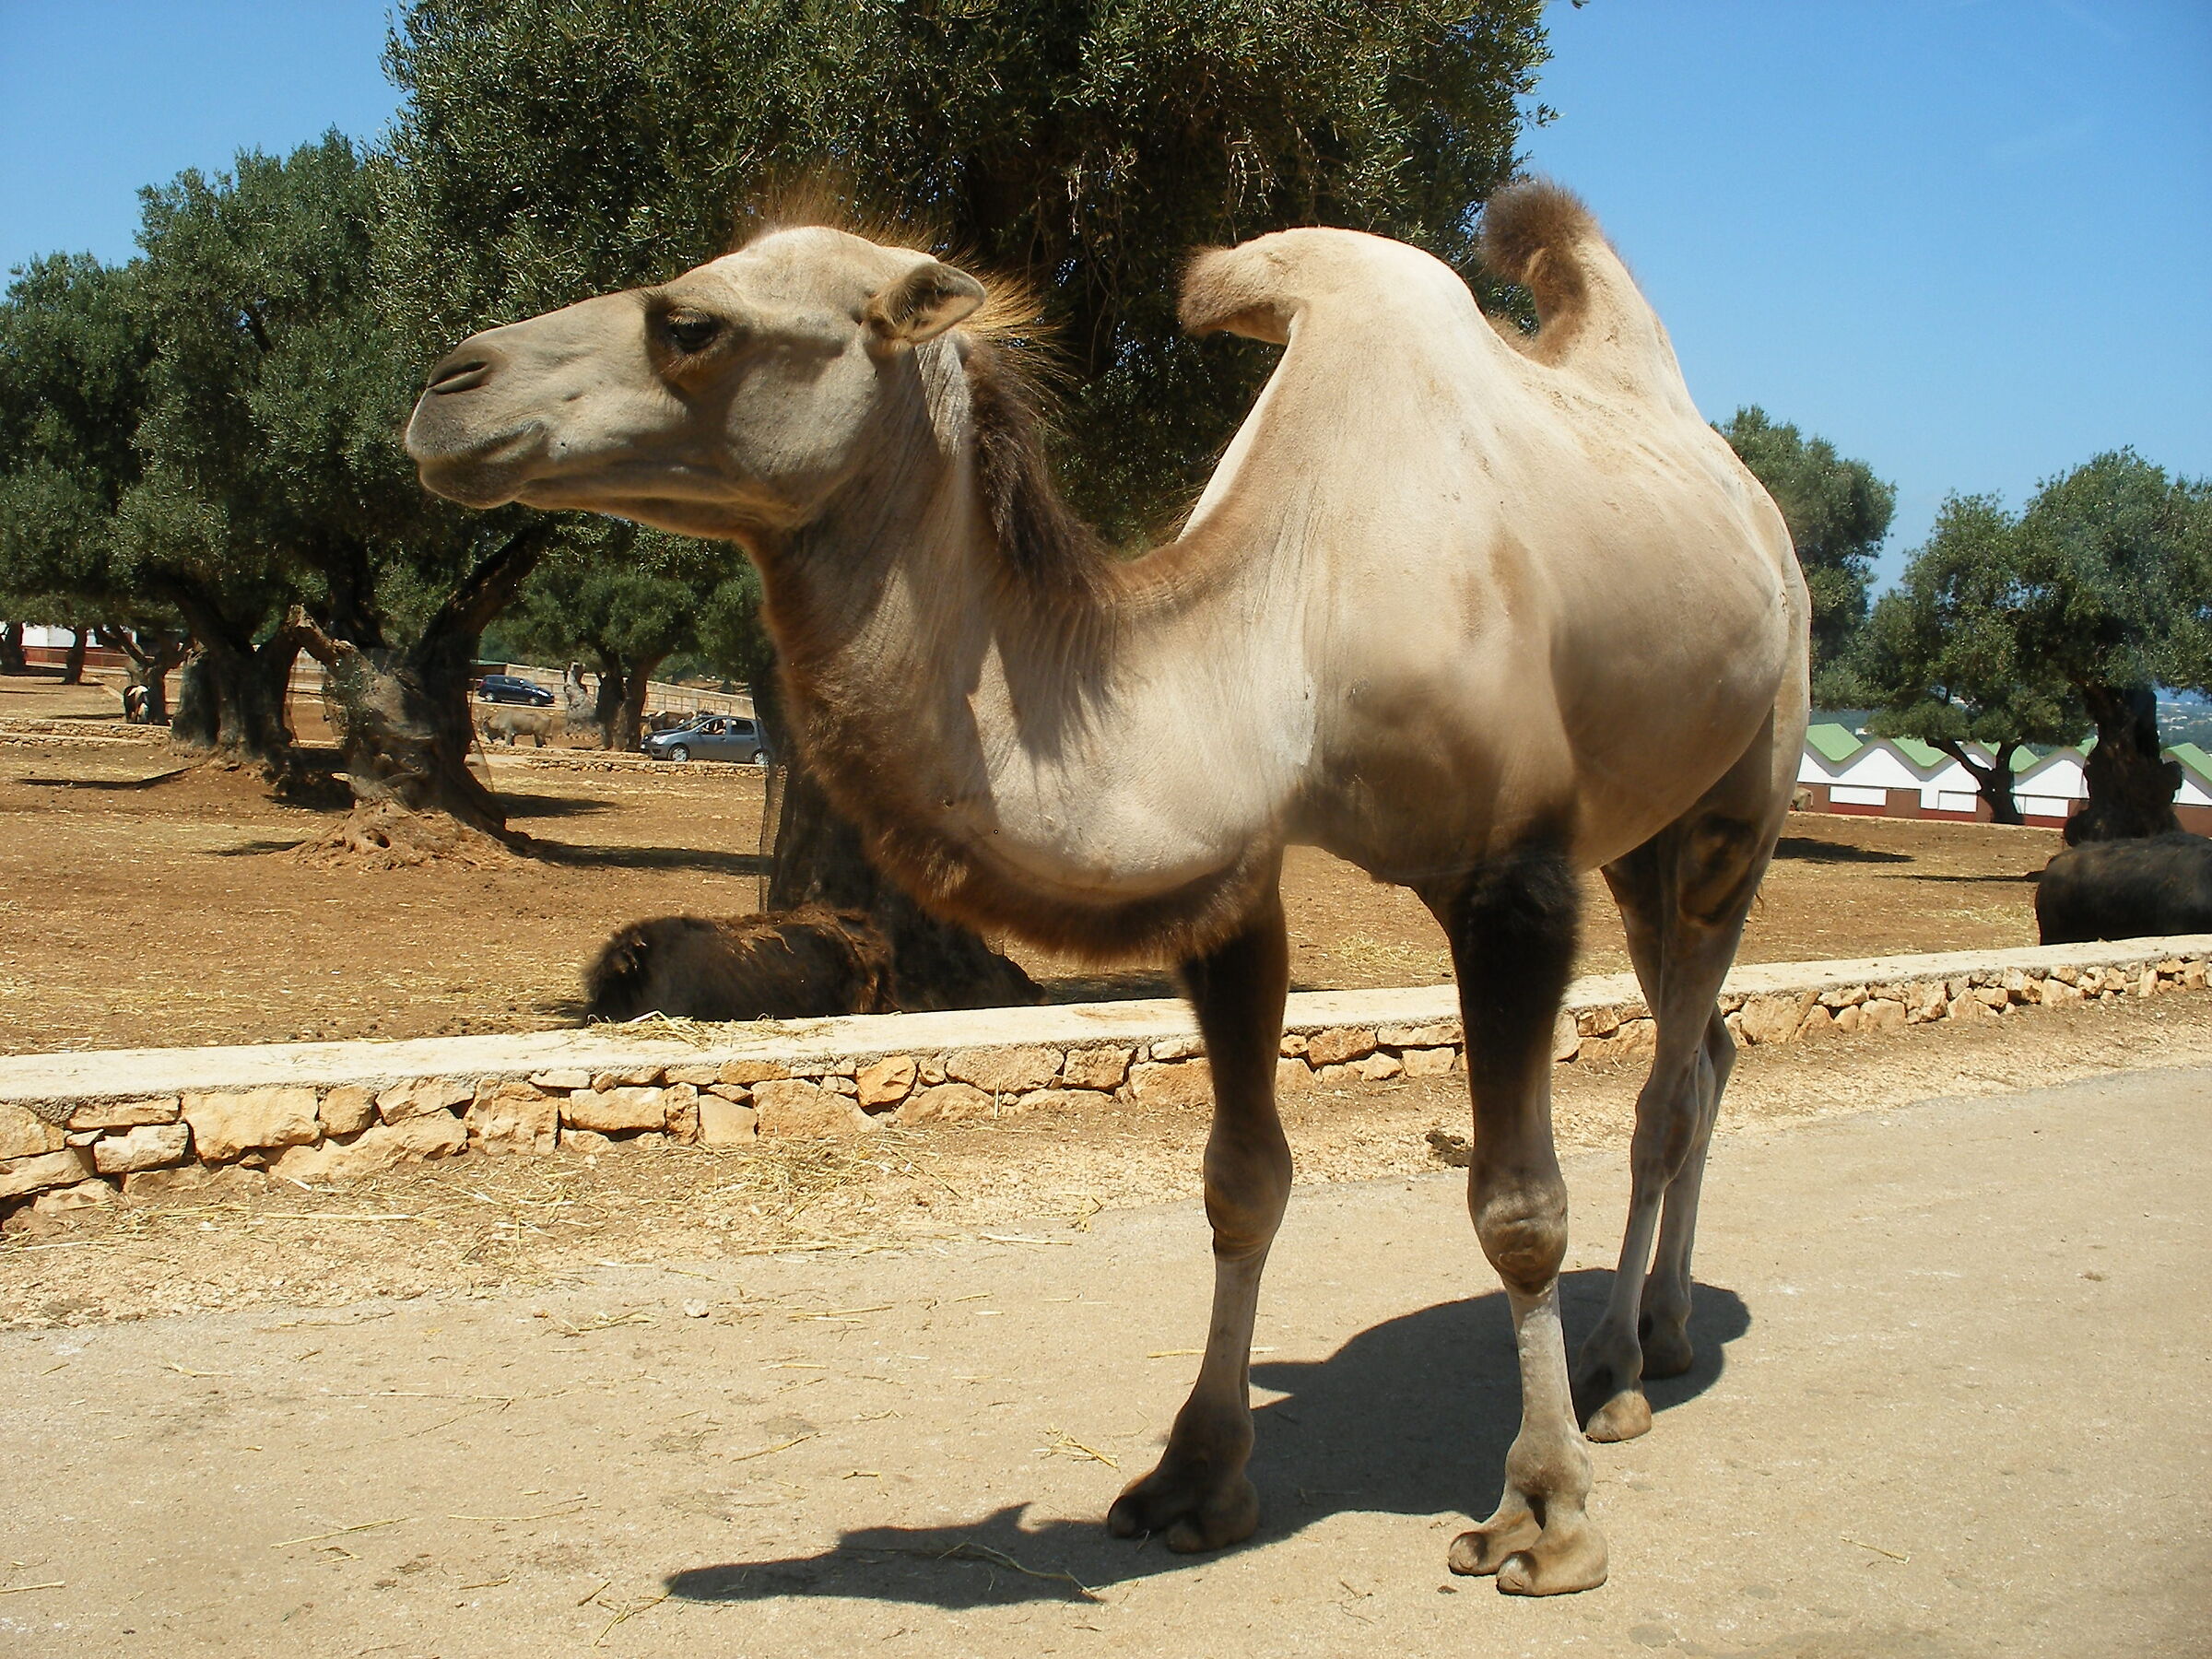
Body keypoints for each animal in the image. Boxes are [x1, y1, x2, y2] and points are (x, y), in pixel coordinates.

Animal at [405, 180, 1809, 1595]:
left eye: (693, 325)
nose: (445, 386)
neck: (1287, 630)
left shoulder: (1513, 873)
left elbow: (1517, 1206)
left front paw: (1543, 1514)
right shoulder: (1229, 878)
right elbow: (1241, 1180)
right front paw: (1193, 1478)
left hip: (1745, 791)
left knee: (1664, 1091)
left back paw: (1617, 1368)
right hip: (1634, 841)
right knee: (1709, 1050)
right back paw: (1663, 1328)